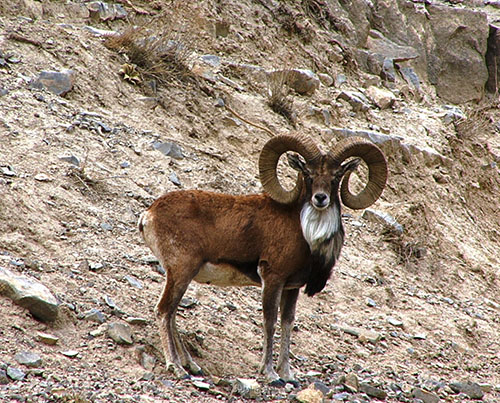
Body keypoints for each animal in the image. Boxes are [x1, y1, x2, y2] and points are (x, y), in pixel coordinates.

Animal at [139, 135, 388, 386]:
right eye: (308, 173)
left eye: (336, 175)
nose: (320, 198)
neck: (306, 231)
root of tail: (148, 214)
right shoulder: (273, 280)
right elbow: (270, 321)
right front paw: (270, 374)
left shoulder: (292, 288)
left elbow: (287, 322)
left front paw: (288, 374)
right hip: (182, 271)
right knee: (164, 311)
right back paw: (177, 367)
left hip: (181, 276)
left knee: (172, 313)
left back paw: (191, 365)